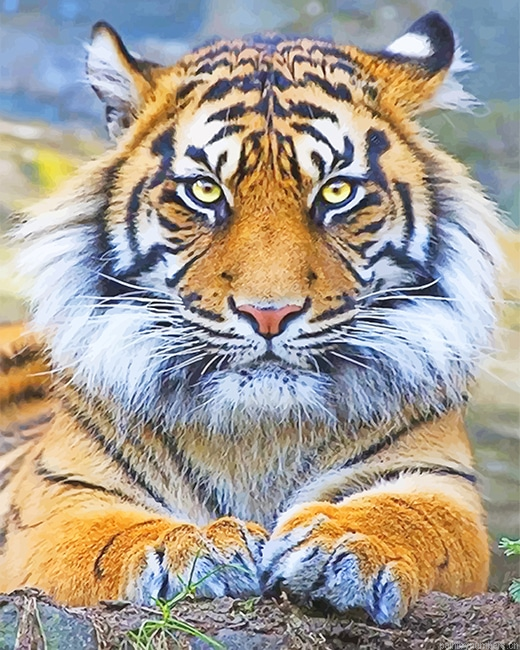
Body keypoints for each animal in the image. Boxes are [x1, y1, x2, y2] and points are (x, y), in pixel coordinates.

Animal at [0, 12, 501, 625]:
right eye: (204, 190)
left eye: (336, 191)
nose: (269, 314)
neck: (259, 433)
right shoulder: (58, 496)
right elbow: (104, 536)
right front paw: (196, 546)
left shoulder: (441, 482)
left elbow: (413, 519)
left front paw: (344, 547)